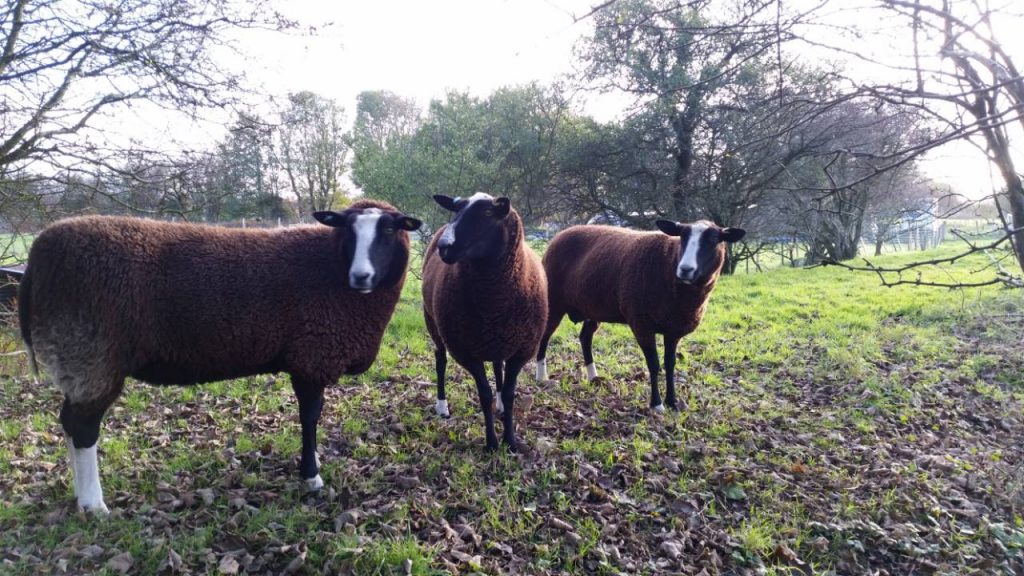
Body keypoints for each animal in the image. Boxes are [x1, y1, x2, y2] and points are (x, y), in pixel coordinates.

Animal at [18, 200, 422, 512]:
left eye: (389, 230)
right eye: (349, 231)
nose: (361, 276)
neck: (332, 269)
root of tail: (36, 259)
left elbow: (314, 417)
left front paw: (314, 464)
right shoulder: (311, 356)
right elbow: (310, 418)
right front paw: (311, 476)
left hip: (79, 360)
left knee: (68, 422)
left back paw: (79, 495)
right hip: (90, 353)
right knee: (83, 428)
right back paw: (94, 504)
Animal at [421, 193, 547, 452]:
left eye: (488, 213)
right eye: (456, 210)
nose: (444, 246)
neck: (494, 301)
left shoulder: (522, 349)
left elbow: (509, 393)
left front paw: (510, 441)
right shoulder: (466, 352)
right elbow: (484, 394)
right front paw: (491, 443)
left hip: (499, 338)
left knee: (498, 365)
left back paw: (500, 406)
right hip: (432, 321)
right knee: (440, 360)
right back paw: (442, 406)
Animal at [535, 219, 745, 412]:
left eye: (714, 240)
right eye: (682, 237)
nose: (685, 269)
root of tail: (561, 234)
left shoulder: (673, 329)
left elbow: (670, 364)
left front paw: (673, 402)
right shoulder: (642, 324)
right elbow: (654, 364)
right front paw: (657, 405)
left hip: (591, 306)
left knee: (585, 337)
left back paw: (593, 376)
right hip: (554, 300)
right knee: (544, 337)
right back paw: (541, 376)